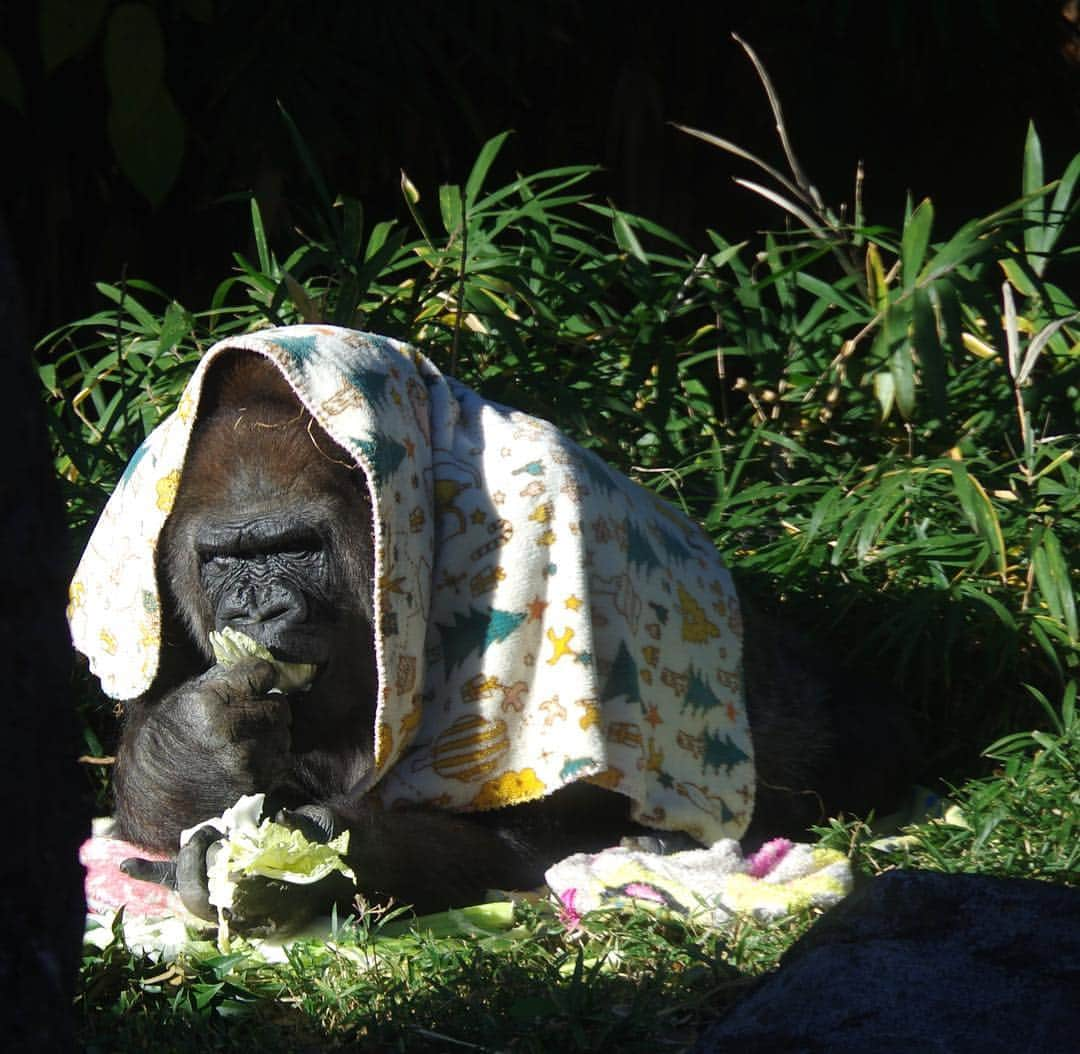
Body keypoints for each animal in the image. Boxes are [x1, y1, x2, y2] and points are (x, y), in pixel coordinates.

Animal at [67, 326, 907, 933]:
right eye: (224, 562)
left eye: (297, 548)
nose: (258, 612)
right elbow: (161, 803)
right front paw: (197, 749)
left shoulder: (552, 546)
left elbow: (543, 835)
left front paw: (313, 862)